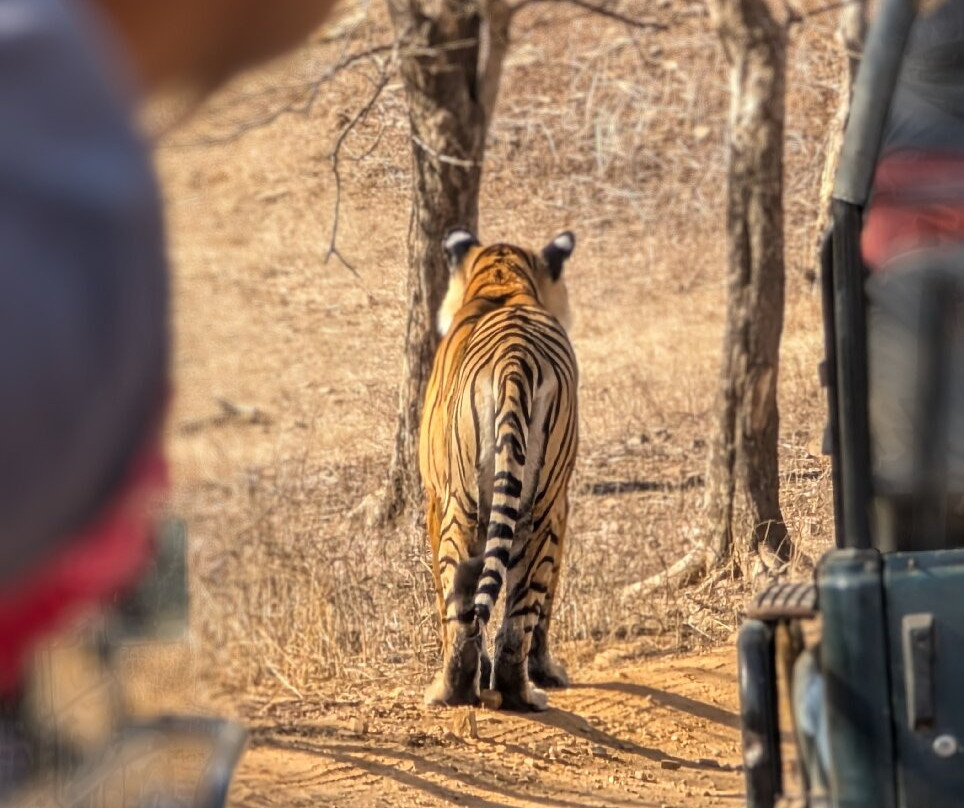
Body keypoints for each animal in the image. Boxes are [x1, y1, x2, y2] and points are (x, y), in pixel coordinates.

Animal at [418, 227, 579, 712]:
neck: (502, 279)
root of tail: (514, 356)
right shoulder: (561, 505)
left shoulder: (432, 498)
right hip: (536, 507)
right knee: (511, 607)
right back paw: (509, 689)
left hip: (474, 505)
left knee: (475, 606)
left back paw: (459, 689)